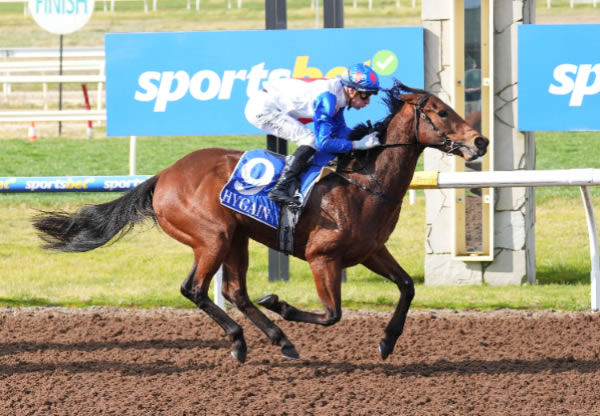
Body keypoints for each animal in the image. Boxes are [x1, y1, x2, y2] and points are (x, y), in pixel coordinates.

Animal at [32, 83, 488, 362]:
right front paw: (282, 304)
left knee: (234, 291)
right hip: (212, 236)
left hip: (237, 237)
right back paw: (242, 339)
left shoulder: (371, 251)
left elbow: (408, 286)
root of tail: (164, 175)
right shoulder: (323, 258)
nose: (480, 141)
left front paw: (387, 342)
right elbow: (332, 314)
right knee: (195, 289)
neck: (364, 184)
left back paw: (278, 340)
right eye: (441, 112)